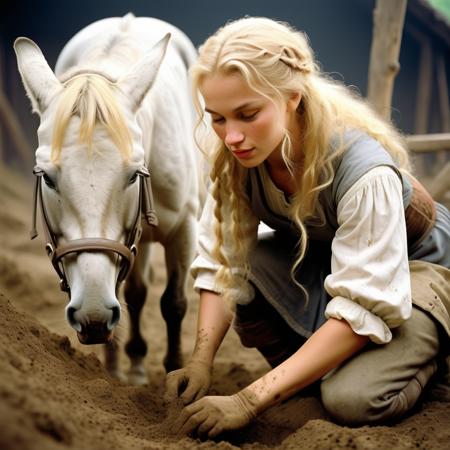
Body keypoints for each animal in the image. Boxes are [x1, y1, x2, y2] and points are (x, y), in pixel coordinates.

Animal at [14, 15, 200, 384]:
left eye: (133, 175)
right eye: (48, 178)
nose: (92, 309)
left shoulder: (184, 227)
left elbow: (173, 303)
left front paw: (174, 375)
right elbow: (122, 298)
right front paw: (115, 375)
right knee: (135, 292)